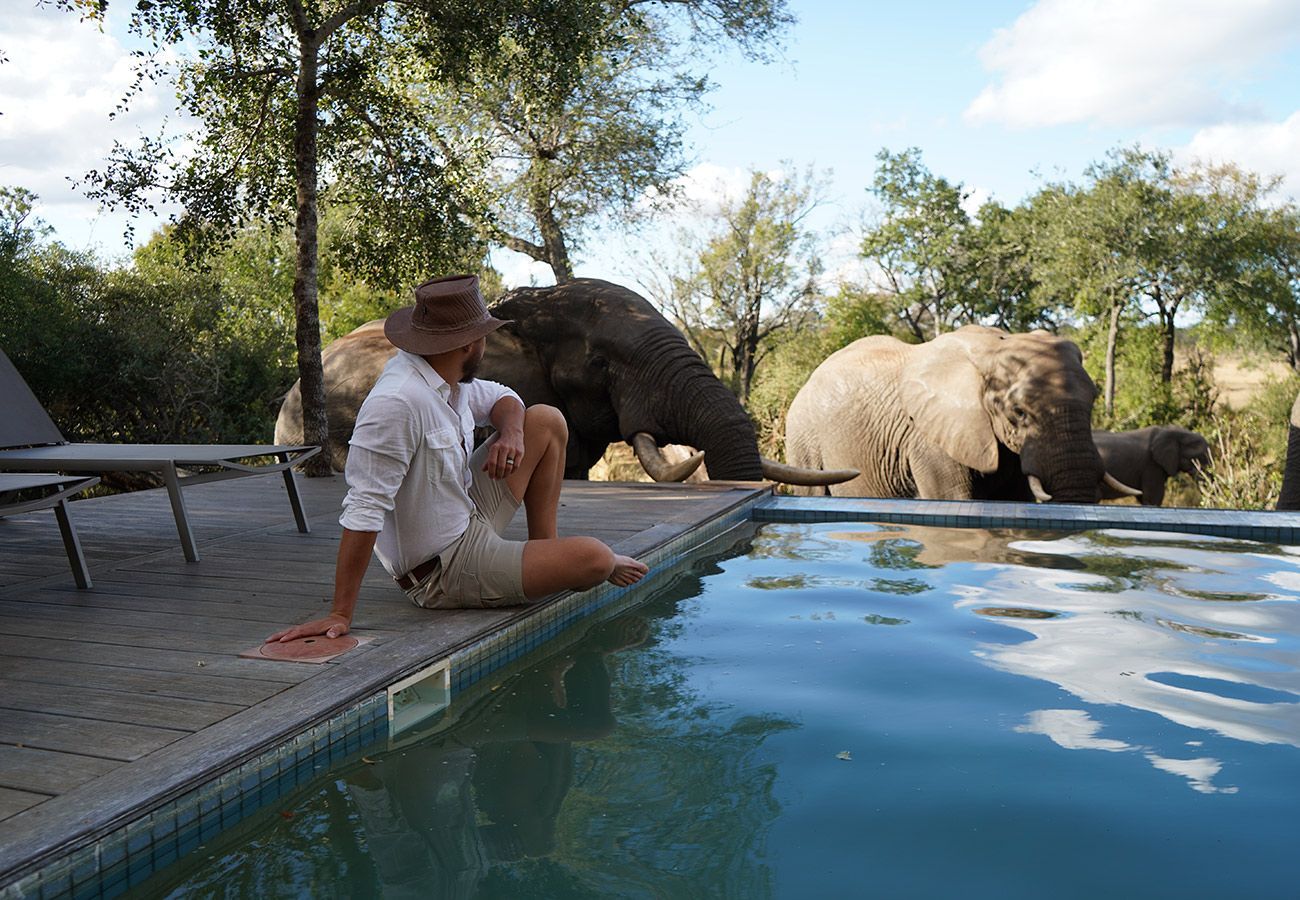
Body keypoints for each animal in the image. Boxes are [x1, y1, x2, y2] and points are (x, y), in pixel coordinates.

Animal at [783, 325, 1139, 503]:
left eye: (1094, 400)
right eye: (1019, 412)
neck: (995, 347)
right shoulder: (930, 441)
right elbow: (954, 497)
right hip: (802, 438)